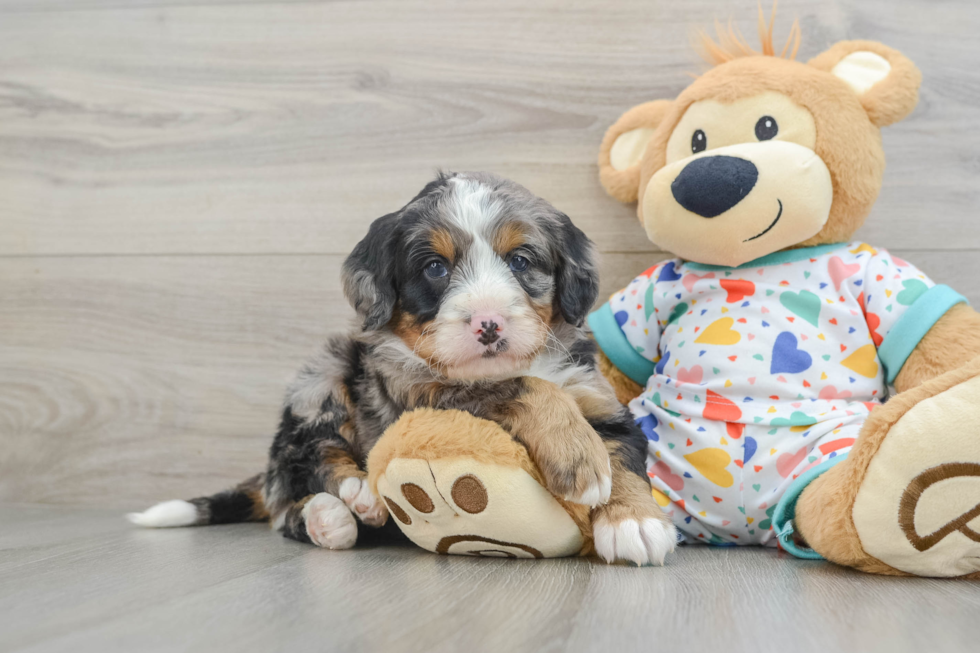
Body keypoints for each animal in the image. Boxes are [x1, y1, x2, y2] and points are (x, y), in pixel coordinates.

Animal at [130, 171, 676, 564]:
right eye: (435, 268)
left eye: (521, 260)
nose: (489, 324)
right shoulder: (421, 391)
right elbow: (524, 387)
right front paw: (582, 461)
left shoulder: (596, 396)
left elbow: (624, 454)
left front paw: (634, 522)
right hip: (321, 374)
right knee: (299, 478)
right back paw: (345, 504)